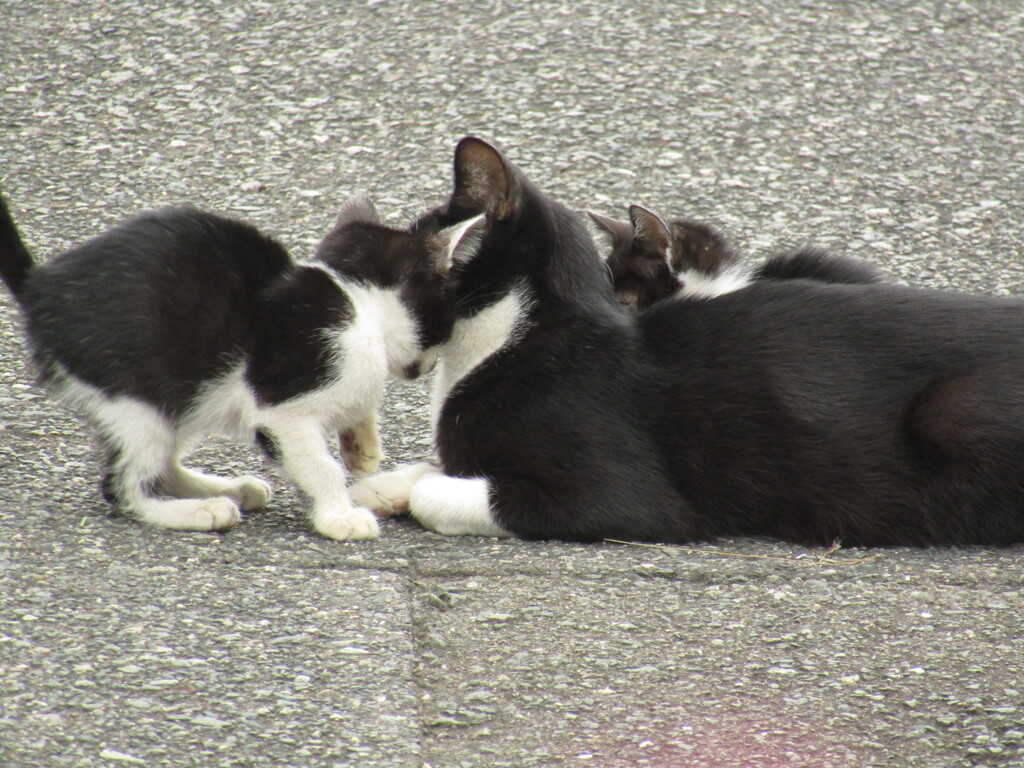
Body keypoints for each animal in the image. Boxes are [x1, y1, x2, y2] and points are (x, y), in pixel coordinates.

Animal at [0, 192, 464, 540]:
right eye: (443, 320)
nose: (429, 367)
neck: (354, 297)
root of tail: (40, 288)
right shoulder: (283, 407)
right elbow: (320, 466)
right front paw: (338, 516)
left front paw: (362, 445)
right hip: (137, 393)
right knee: (123, 487)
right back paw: (197, 511)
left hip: (184, 397)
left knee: (163, 465)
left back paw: (231, 489)